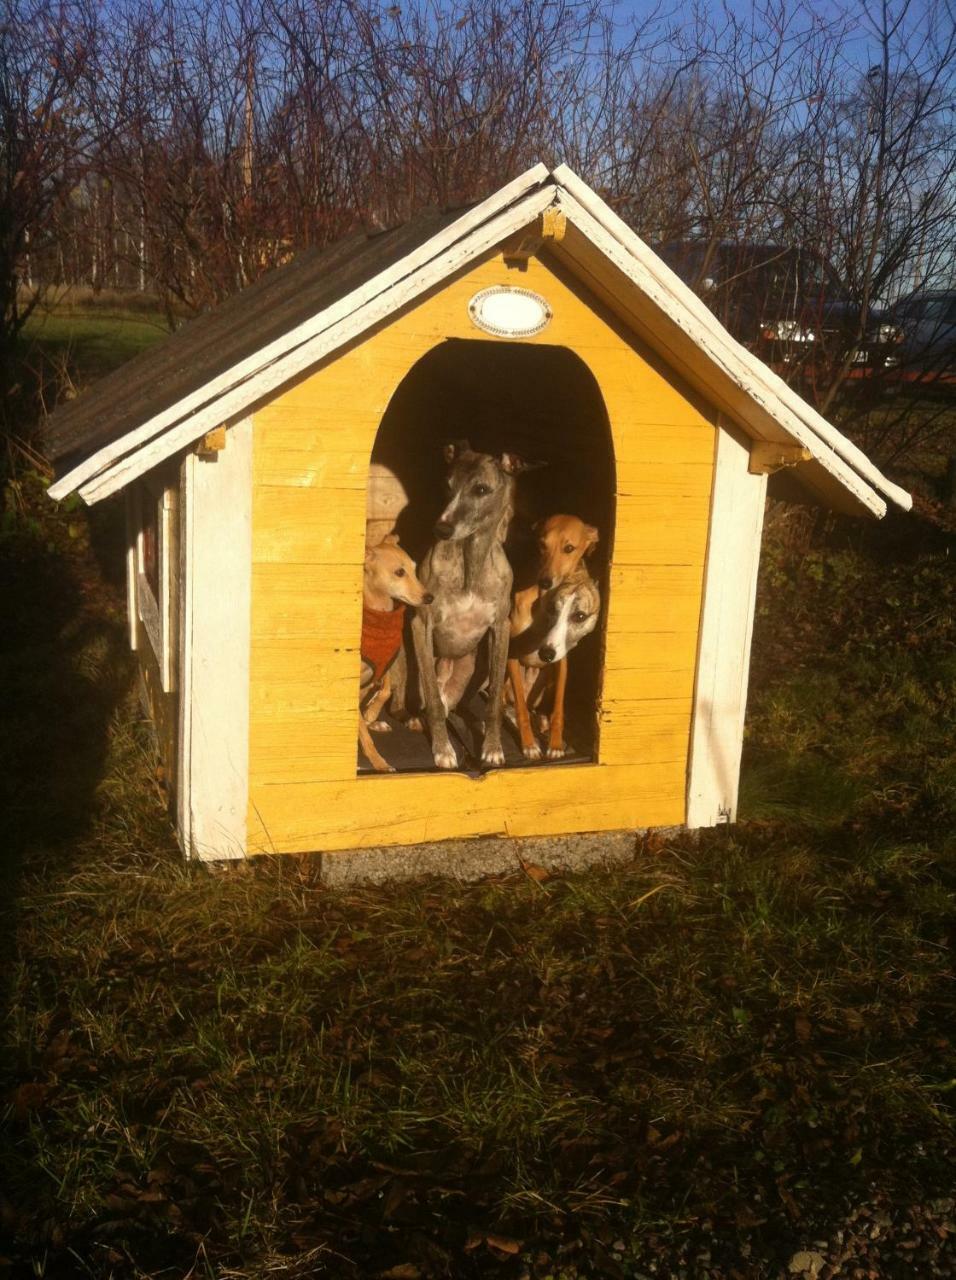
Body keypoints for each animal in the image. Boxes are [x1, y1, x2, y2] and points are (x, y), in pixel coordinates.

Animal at [360, 529, 432, 768]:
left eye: (414, 568)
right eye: (399, 572)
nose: (429, 597)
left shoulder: (386, 664)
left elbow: (386, 690)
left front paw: (372, 714)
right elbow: (364, 736)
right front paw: (380, 764)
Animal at [409, 440, 534, 768]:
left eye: (480, 489)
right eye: (447, 484)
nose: (441, 529)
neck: (470, 561)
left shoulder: (500, 628)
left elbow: (493, 703)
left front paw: (492, 747)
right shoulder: (421, 625)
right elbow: (432, 700)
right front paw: (442, 749)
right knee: (431, 701)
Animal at [509, 514, 598, 757]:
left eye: (569, 548)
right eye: (542, 545)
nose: (545, 581)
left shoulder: (561, 660)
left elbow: (558, 709)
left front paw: (556, 745)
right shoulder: (510, 653)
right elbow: (520, 709)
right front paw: (529, 744)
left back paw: (542, 721)